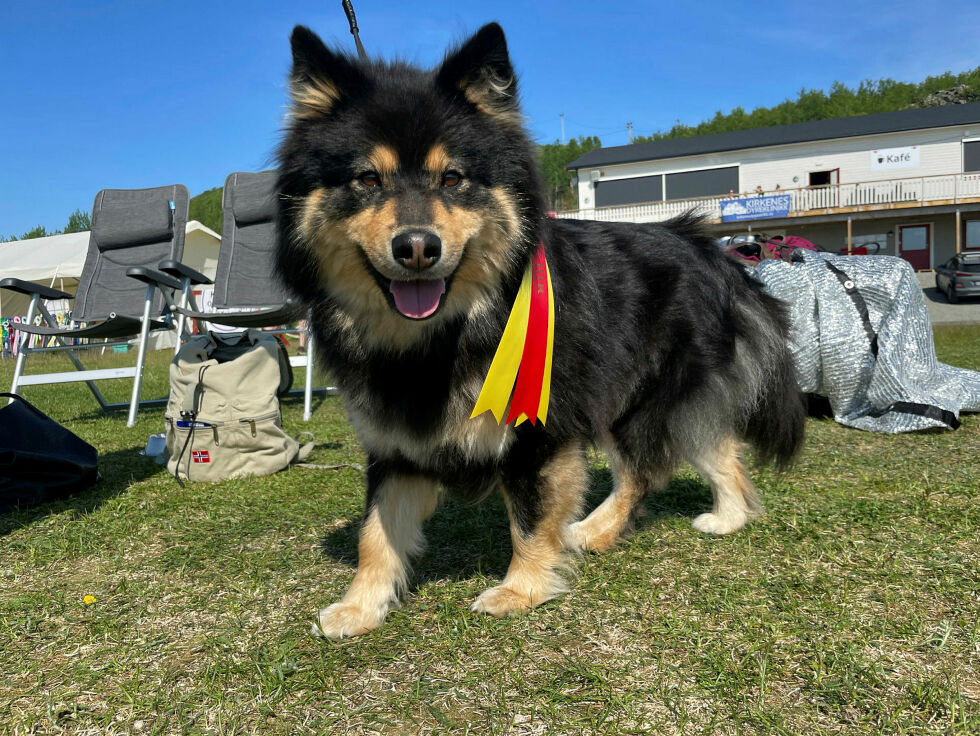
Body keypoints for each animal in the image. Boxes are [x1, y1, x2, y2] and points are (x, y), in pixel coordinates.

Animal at [276, 23, 804, 640]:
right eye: (366, 179)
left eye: (452, 178)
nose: (417, 246)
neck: (440, 337)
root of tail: (703, 246)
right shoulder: (394, 440)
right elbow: (376, 533)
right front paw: (361, 606)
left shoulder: (541, 427)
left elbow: (529, 519)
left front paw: (521, 589)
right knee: (710, 449)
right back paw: (727, 516)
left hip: (643, 394)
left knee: (651, 467)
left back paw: (613, 529)